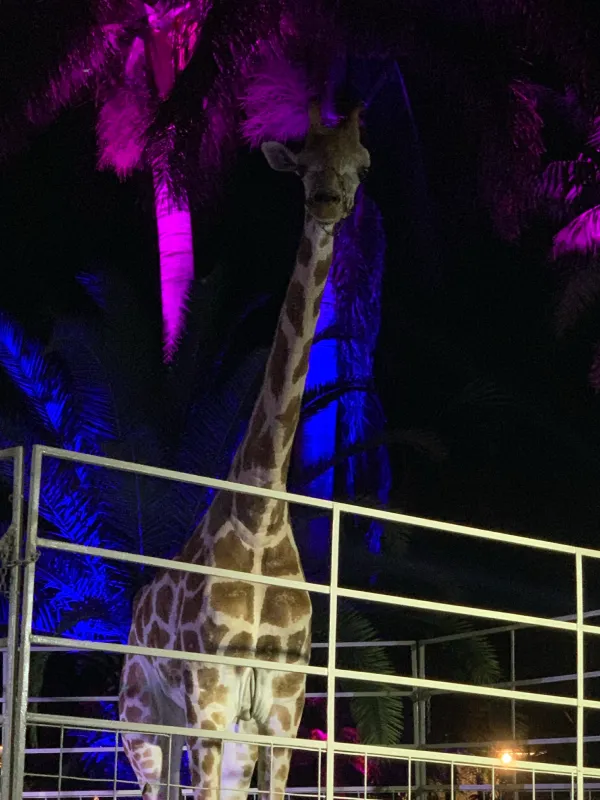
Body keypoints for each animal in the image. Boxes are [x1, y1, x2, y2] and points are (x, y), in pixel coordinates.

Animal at [119, 101, 371, 800]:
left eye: (362, 164)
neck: (261, 519)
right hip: (143, 718)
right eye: (303, 163)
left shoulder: (282, 705)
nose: (328, 200)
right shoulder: (209, 693)